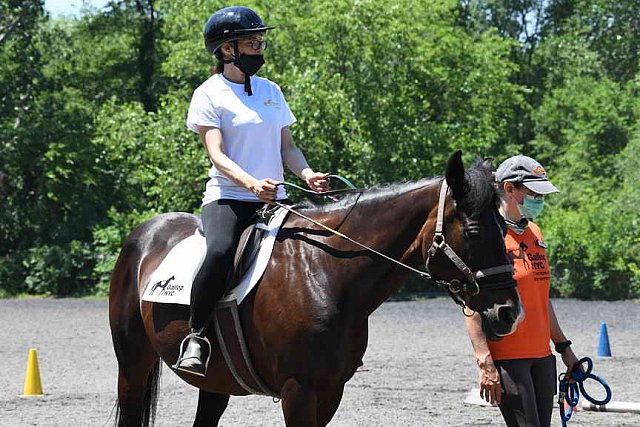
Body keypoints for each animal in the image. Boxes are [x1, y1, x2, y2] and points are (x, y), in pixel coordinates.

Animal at [109, 152, 520, 426]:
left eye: (505, 228)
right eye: (473, 231)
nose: (509, 312)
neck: (324, 272)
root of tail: (144, 233)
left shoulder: (329, 391)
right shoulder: (298, 391)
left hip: (214, 379)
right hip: (133, 364)